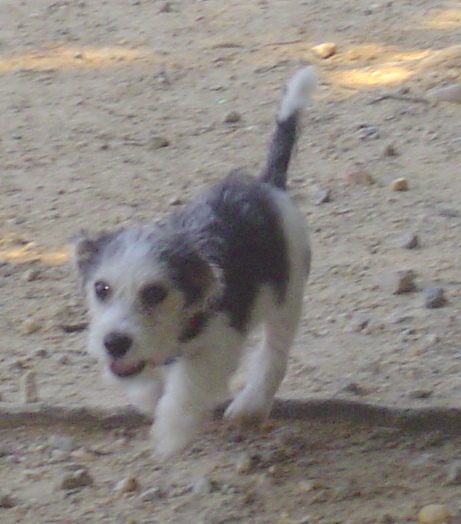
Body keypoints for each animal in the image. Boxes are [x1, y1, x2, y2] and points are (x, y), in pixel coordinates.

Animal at [73, 66, 316, 458]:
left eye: (155, 293)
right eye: (101, 288)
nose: (114, 343)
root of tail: (268, 186)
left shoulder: (220, 342)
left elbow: (188, 385)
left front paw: (171, 433)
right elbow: (147, 385)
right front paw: (152, 397)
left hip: (288, 295)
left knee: (274, 354)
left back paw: (250, 406)